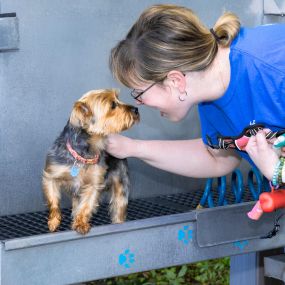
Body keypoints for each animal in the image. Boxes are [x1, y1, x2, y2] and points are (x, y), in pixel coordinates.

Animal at [42, 89, 139, 233]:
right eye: (113, 105)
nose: (136, 109)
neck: (84, 153)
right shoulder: (51, 174)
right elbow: (53, 200)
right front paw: (54, 221)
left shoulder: (94, 182)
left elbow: (87, 204)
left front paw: (81, 223)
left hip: (121, 181)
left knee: (119, 204)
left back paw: (118, 221)